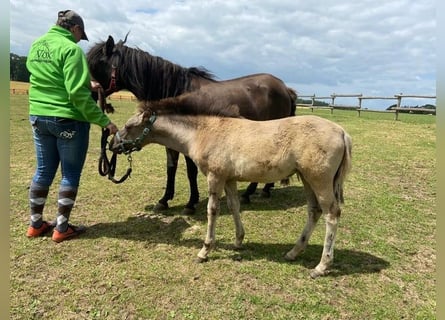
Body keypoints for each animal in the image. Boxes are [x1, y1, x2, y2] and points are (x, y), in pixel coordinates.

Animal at [86, 35, 294, 215]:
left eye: (95, 64)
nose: (88, 92)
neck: (175, 88)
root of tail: (284, 88)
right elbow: (171, 167)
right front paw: (164, 200)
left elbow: (190, 171)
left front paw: (190, 203)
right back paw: (262, 189)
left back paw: (253, 192)